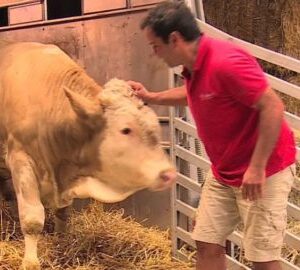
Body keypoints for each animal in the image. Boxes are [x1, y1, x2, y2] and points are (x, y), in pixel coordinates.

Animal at [0, 40, 176, 270]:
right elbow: (32, 219)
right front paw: (30, 262)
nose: (169, 174)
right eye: (125, 130)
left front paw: (62, 238)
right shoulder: (21, 160)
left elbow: (63, 211)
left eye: (155, 126)